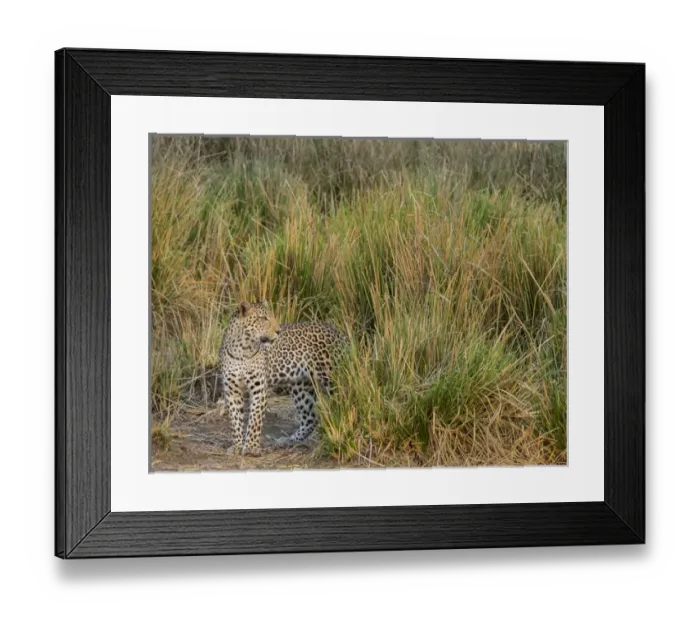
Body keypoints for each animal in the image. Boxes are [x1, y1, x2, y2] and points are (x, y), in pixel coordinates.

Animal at [218, 300, 348, 456]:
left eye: (272, 316)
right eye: (263, 318)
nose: (278, 331)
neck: (242, 350)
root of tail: (338, 333)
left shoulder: (259, 389)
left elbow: (255, 420)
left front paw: (251, 447)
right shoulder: (232, 391)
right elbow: (235, 419)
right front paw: (237, 445)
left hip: (332, 377)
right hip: (301, 386)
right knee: (311, 417)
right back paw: (289, 440)